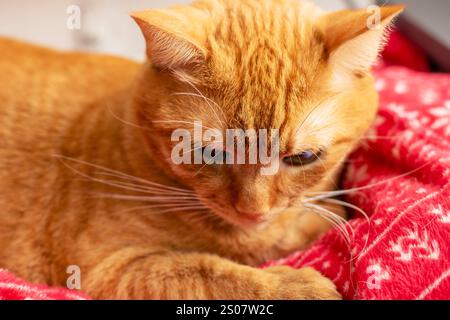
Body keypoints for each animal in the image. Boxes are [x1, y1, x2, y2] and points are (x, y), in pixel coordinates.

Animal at [0, 0, 400, 300]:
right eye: (211, 154)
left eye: (302, 158)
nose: (252, 211)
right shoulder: (109, 267)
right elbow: (205, 272)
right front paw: (294, 284)